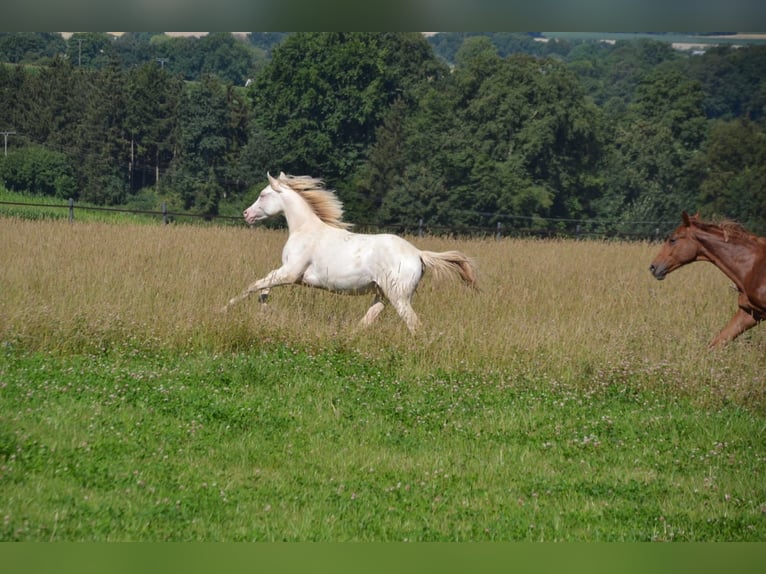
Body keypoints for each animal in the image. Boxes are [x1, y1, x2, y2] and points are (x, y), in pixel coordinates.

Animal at [220, 171, 480, 332]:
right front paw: (264, 311)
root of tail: (418, 254)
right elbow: (263, 289)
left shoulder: (290, 272)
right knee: (367, 321)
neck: (305, 230)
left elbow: (253, 285)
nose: (246, 214)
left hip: (398, 298)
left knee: (414, 325)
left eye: (263, 194)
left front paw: (223, 308)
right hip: (383, 296)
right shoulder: (289, 275)